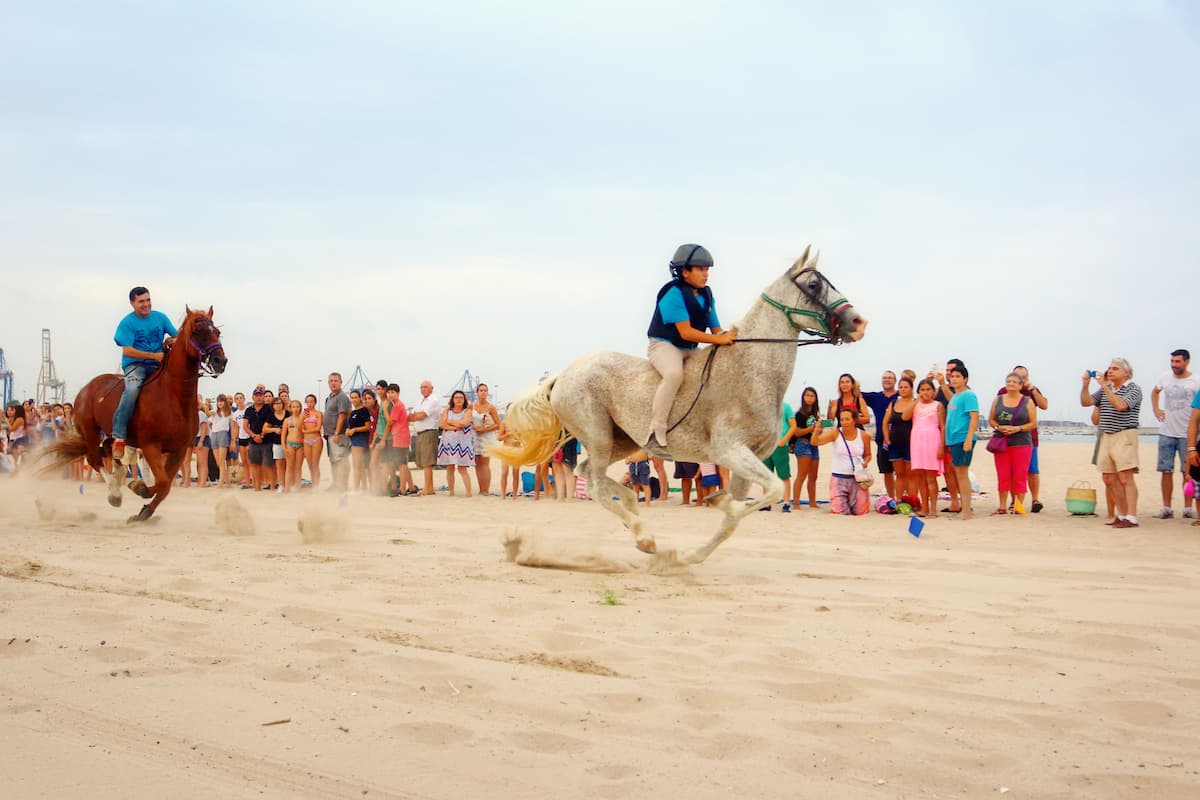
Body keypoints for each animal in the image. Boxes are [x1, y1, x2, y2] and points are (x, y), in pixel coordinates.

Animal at [39, 307, 226, 525]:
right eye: (197, 331)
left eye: (217, 332)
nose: (220, 361)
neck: (173, 397)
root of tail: (85, 389)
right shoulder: (151, 446)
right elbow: (162, 482)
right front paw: (140, 488)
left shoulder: (179, 450)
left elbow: (165, 487)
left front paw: (144, 511)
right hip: (91, 431)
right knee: (95, 459)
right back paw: (114, 493)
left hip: (114, 433)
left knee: (110, 448)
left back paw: (119, 475)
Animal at [492, 247, 868, 566]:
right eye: (814, 284)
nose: (859, 324)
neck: (751, 367)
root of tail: (563, 374)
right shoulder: (730, 450)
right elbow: (769, 492)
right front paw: (719, 502)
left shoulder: (750, 458)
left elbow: (734, 520)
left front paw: (690, 555)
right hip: (597, 434)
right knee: (595, 483)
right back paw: (643, 537)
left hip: (621, 441)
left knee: (588, 474)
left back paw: (636, 517)